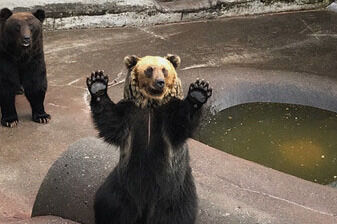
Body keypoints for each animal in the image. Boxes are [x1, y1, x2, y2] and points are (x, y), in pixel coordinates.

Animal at [86, 54, 213, 224]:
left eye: (164, 70)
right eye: (149, 69)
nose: (160, 82)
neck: (151, 105)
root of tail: (145, 208)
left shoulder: (167, 118)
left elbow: (181, 123)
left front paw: (198, 92)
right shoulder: (129, 114)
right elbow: (111, 122)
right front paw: (98, 84)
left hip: (175, 191)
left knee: (178, 214)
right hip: (122, 185)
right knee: (109, 204)